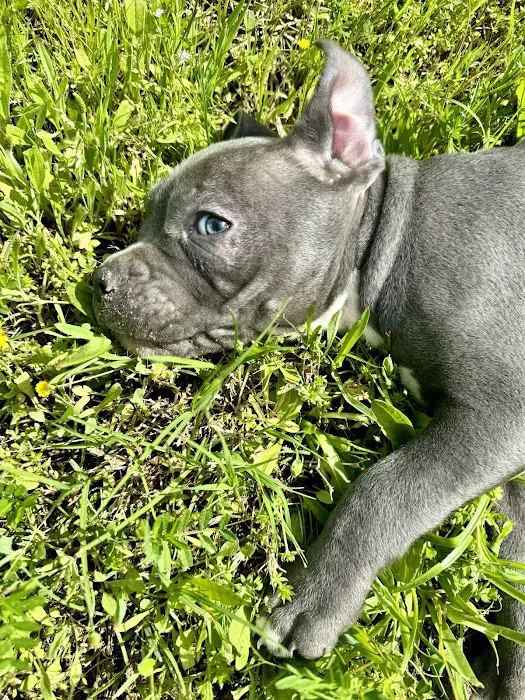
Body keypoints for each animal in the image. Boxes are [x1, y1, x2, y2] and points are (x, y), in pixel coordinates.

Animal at [93, 40, 525, 698]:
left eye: (211, 224)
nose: (101, 280)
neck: (390, 237)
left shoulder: (500, 412)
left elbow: (386, 487)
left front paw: (312, 601)